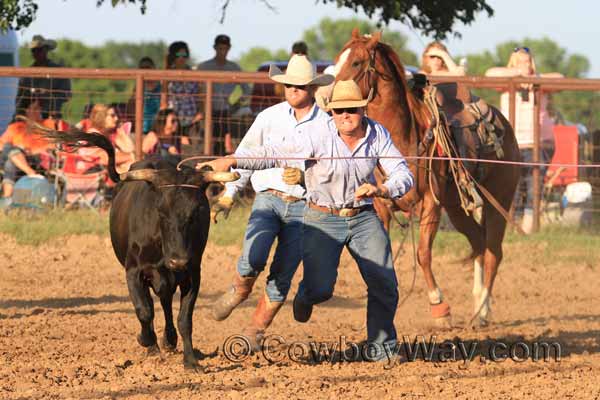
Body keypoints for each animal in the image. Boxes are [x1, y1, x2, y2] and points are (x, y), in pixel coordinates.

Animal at [332, 29, 520, 326]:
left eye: (357, 62)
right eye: (337, 60)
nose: (330, 99)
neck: (403, 137)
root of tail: (504, 125)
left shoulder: (431, 204)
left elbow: (423, 254)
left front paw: (440, 307)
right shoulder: (381, 206)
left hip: (498, 201)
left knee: (493, 252)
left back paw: (482, 311)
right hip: (457, 209)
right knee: (479, 244)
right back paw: (478, 305)